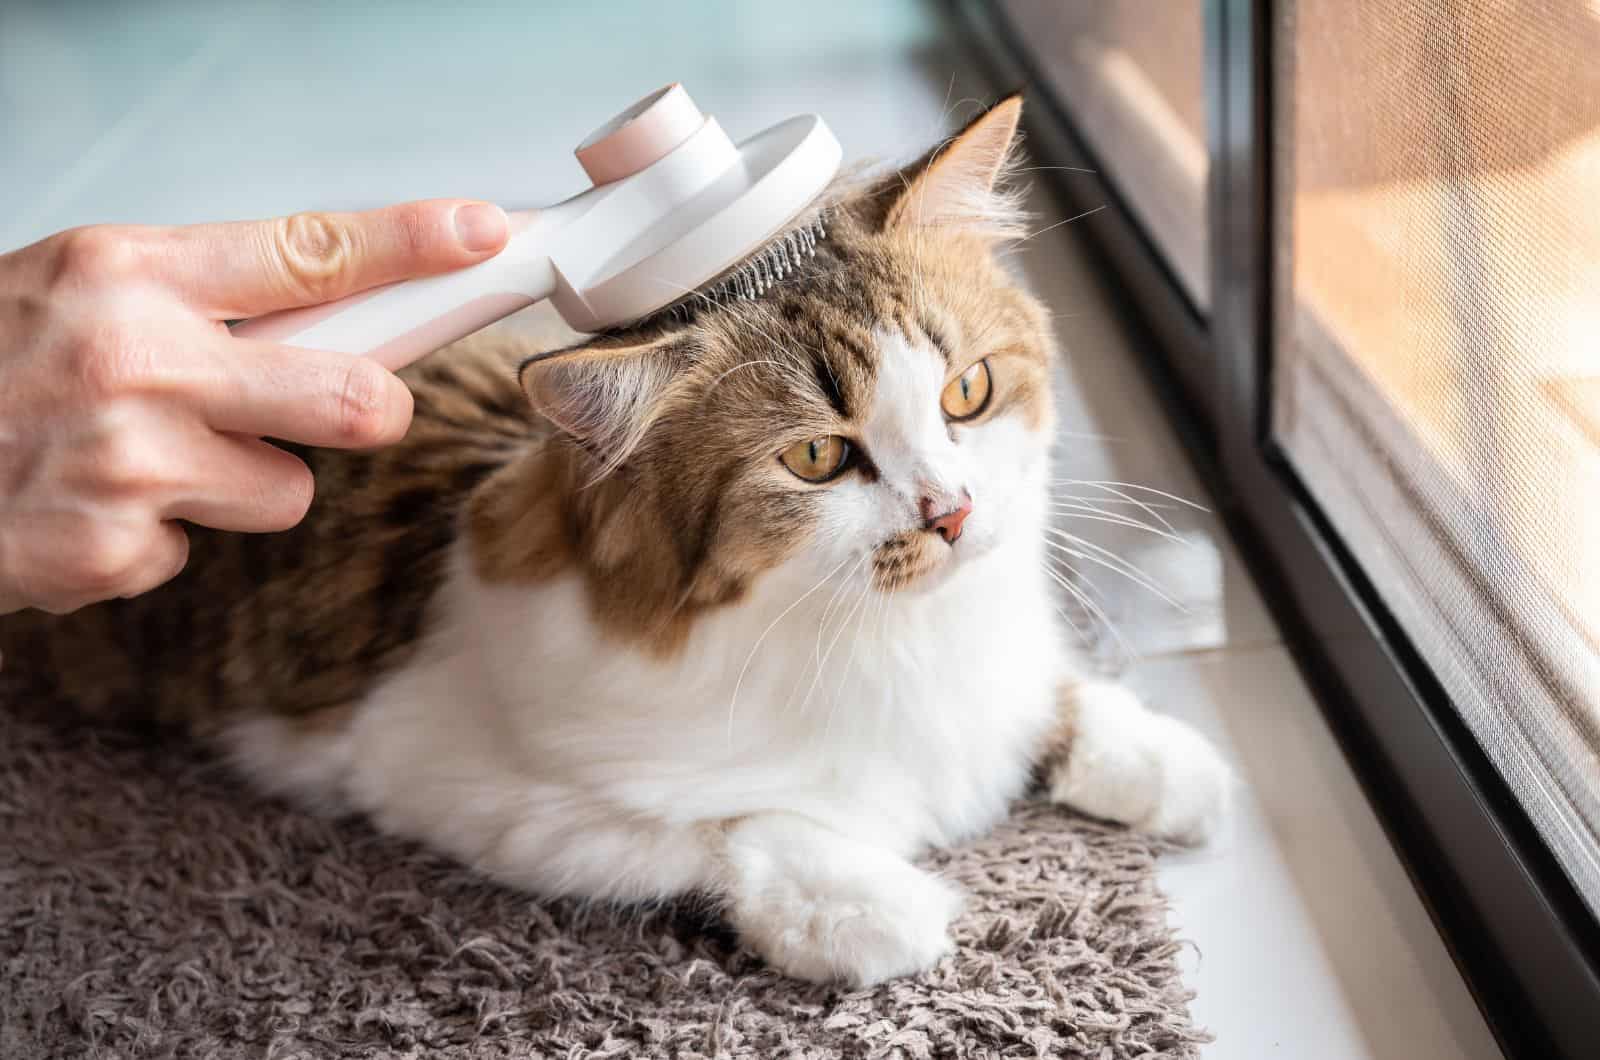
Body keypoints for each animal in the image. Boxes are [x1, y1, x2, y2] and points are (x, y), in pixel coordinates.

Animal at [0, 95, 1228, 992]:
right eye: (818, 459)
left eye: (967, 392)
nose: (954, 512)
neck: (890, 638)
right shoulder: (438, 771)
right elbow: (724, 829)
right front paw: (874, 909)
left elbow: (1053, 696)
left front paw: (1167, 762)